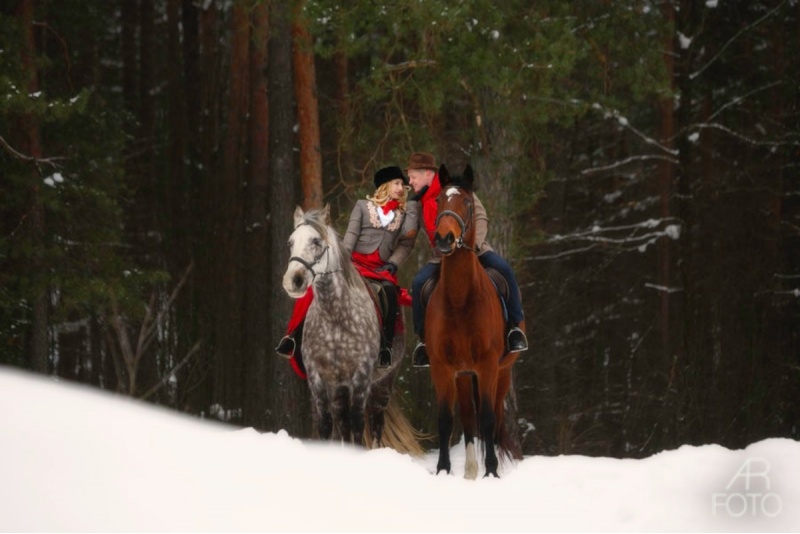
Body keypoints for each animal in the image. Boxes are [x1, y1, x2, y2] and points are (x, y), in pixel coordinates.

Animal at [428, 164, 520, 482]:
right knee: (468, 418)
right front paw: (443, 469)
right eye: (439, 200)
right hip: (464, 375)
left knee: (494, 415)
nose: (444, 238)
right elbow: (445, 419)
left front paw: (491, 471)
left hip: (502, 372)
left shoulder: (488, 365)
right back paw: (468, 471)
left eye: (468, 203)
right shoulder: (443, 367)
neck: (460, 299)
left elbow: (489, 418)